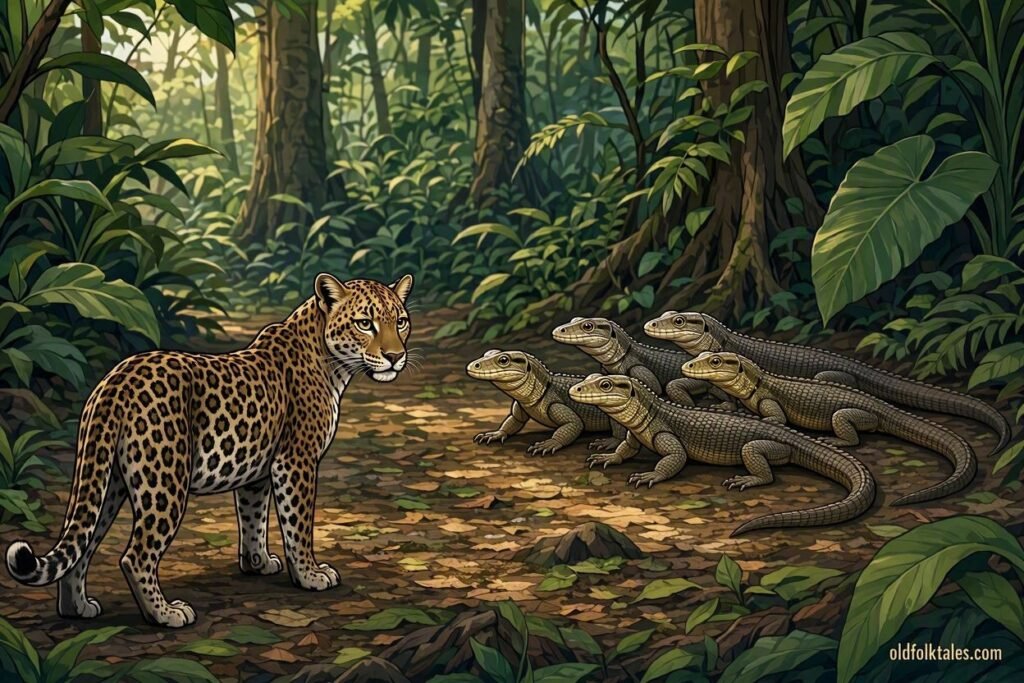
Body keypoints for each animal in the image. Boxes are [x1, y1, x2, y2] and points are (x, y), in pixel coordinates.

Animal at [5, 273, 413, 628]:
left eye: (401, 322)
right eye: (365, 323)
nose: (396, 356)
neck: (329, 359)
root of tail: (115, 381)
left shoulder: (257, 471)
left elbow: (253, 519)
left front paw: (257, 563)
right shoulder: (295, 462)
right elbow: (298, 525)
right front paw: (311, 575)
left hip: (108, 481)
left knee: (83, 543)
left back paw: (77, 609)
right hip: (163, 481)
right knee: (135, 556)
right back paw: (166, 614)